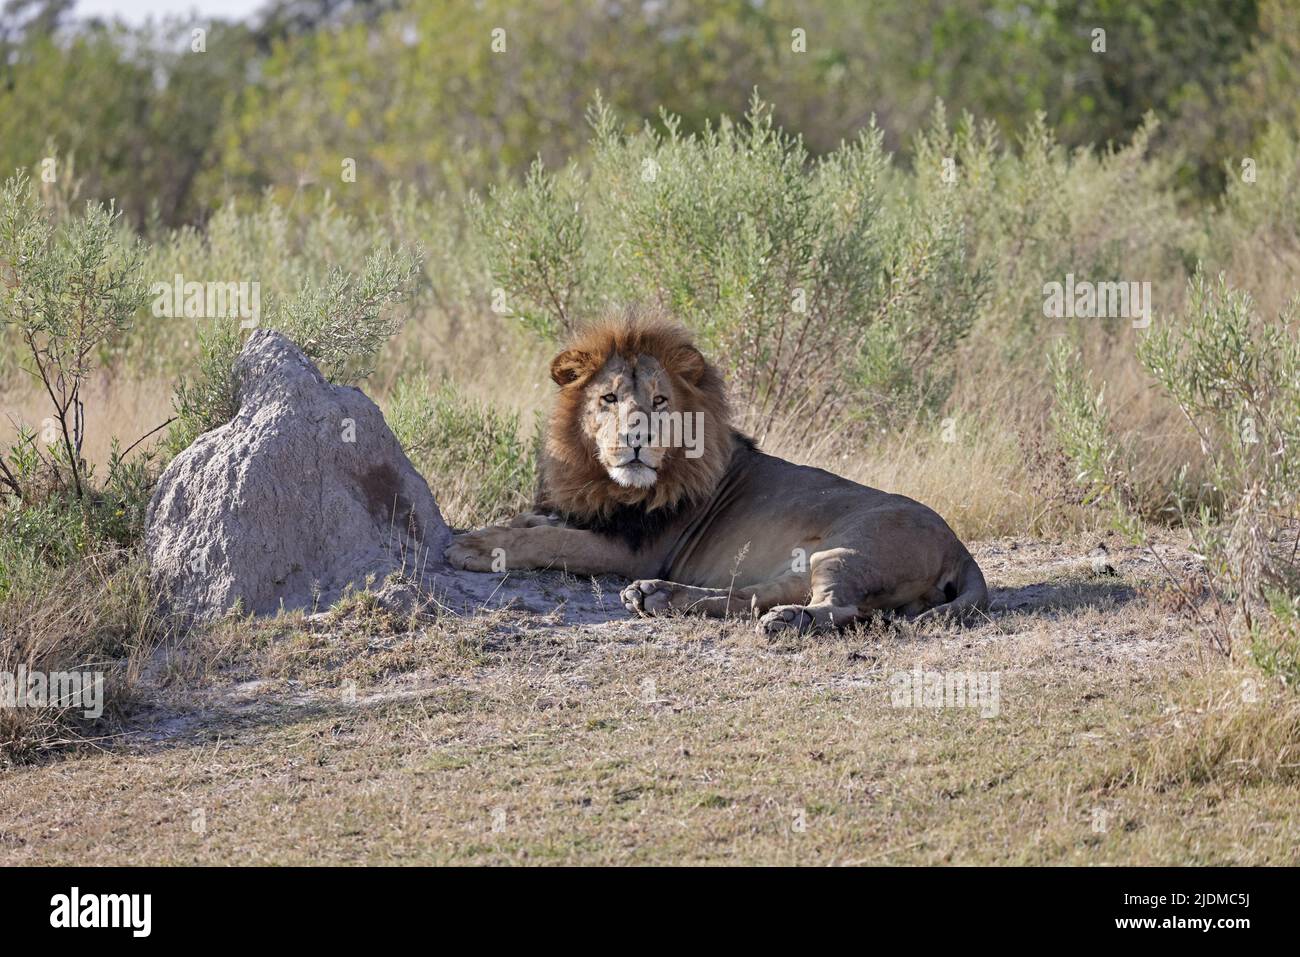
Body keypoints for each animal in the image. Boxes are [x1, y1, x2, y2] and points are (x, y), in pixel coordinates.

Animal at [446, 308, 988, 633]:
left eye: (660, 401)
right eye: (609, 399)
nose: (637, 439)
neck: (612, 485)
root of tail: (959, 547)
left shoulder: (635, 550)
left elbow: (553, 541)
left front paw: (476, 547)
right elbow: (539, 521)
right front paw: (505, 525)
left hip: (850, 548)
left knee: (839, 607)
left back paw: (786, 621)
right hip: (804, 561)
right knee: (750, 597)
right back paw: (655, 597)